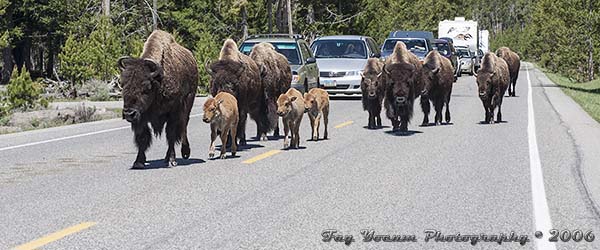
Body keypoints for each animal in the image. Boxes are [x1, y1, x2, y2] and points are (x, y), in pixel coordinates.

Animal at [118, 30, 198, 169]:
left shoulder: (173, 113)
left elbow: (171, 135)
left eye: (146, 87)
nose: (129, 113)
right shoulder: (141, 118)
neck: (158, 81)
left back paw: (184, 152)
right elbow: (142, 138)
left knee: (183, 126)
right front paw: (138, 162)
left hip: (188, 104)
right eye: (123, 85)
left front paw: (171, 160)